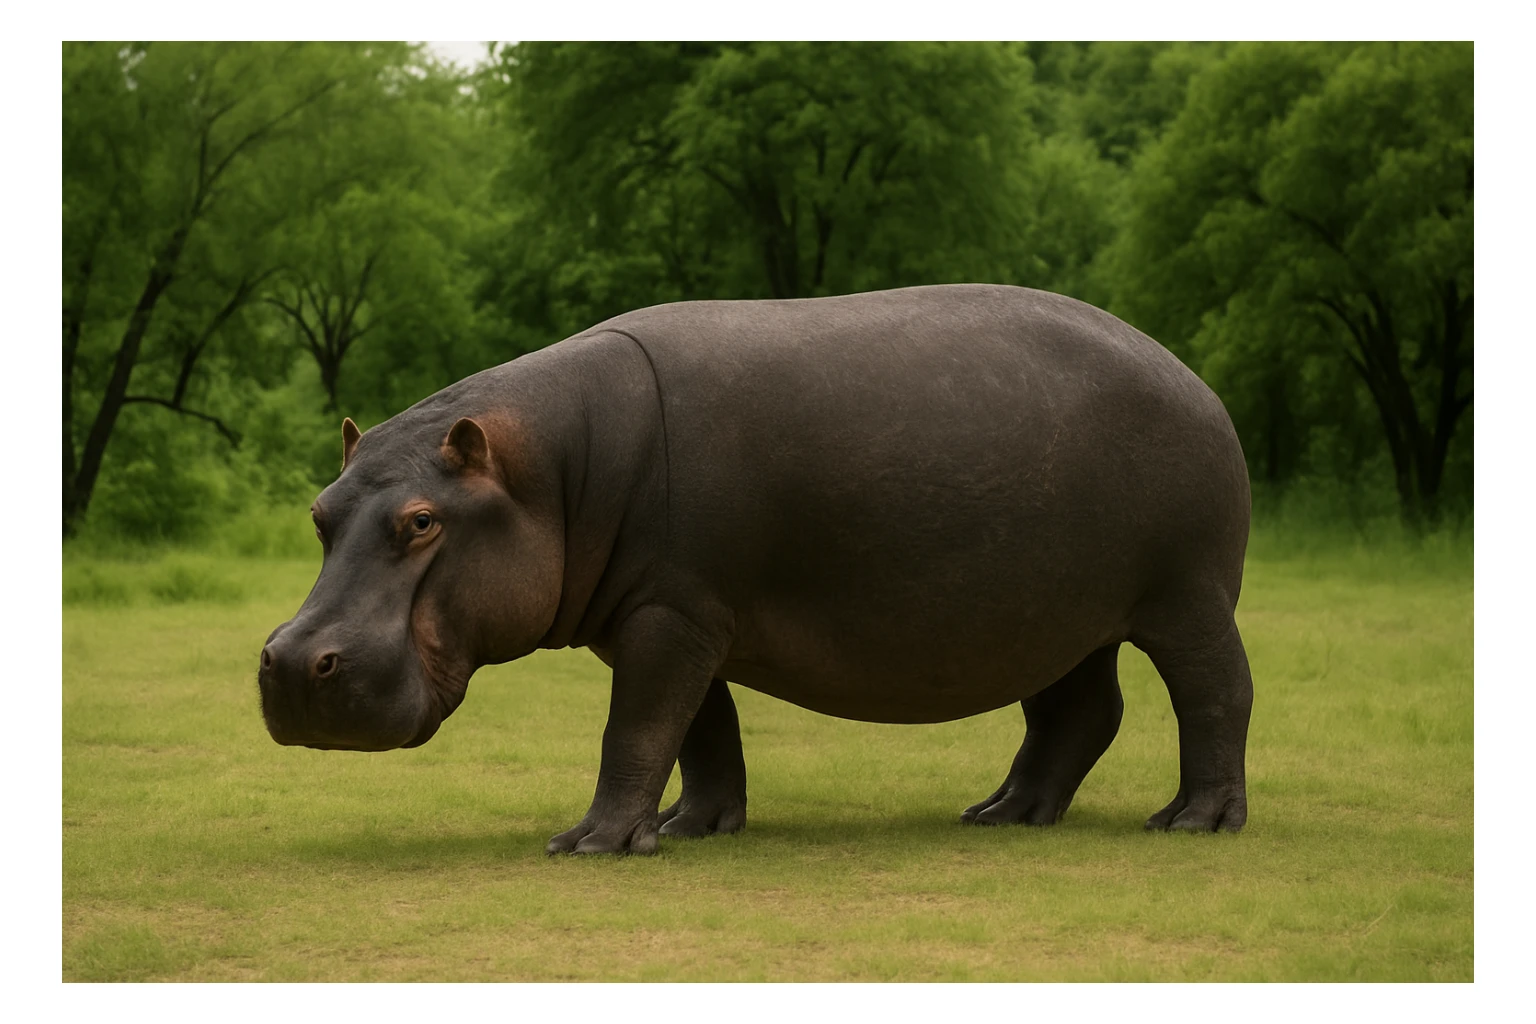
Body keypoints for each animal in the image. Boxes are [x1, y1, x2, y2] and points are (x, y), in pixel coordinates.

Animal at [258, 284, 1254, 854]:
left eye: (422, 521)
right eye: (319, 511)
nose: (292, 661)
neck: (550, 469)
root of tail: (1196, 379)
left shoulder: (671, 616)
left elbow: (636, 729)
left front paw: (590, 843)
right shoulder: (670, 616)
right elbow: (699, 731)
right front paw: (688, 829)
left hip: (1186, 597)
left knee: (1215, 694)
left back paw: (1190, 823)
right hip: (1059, 616)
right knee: (1080, 711)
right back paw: (1003, 813)